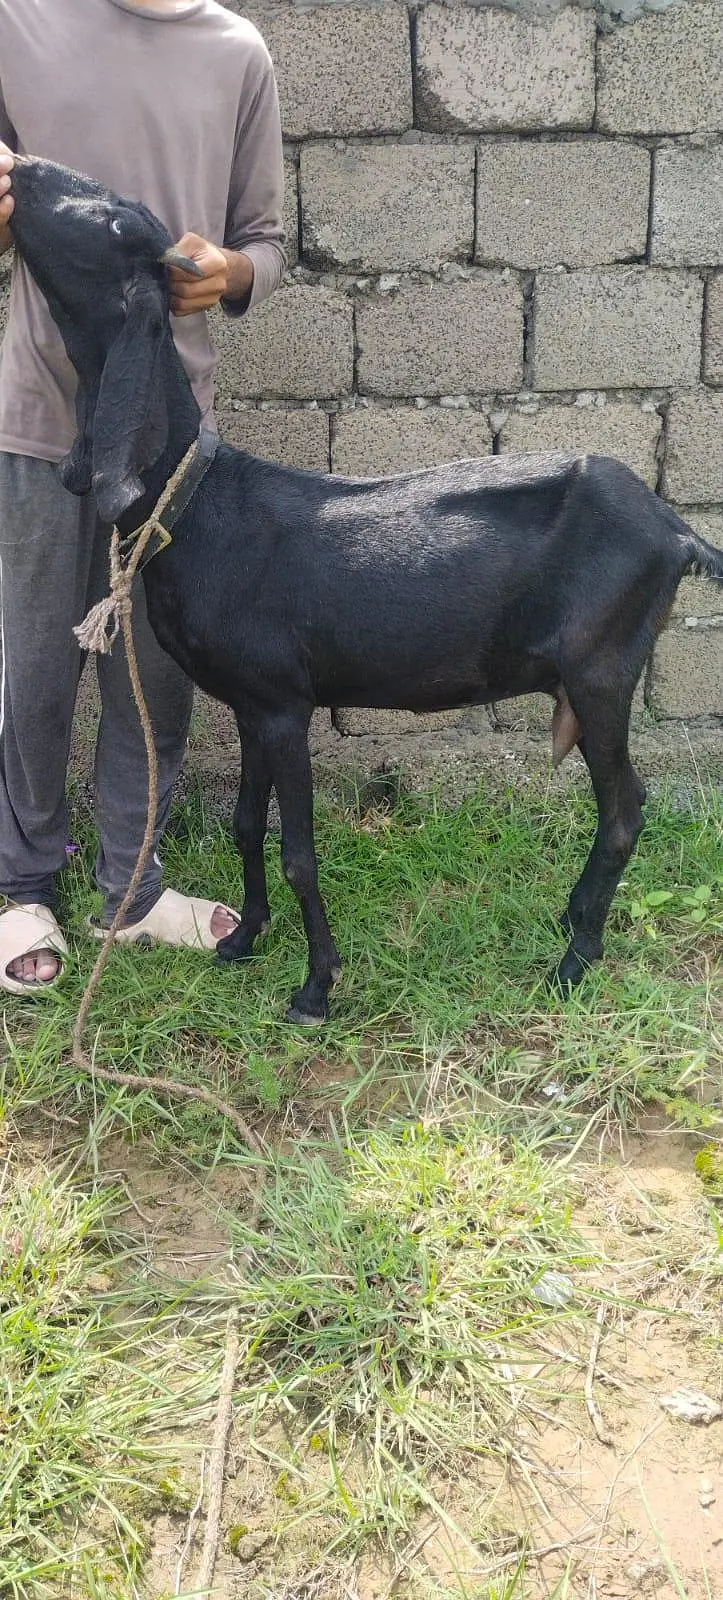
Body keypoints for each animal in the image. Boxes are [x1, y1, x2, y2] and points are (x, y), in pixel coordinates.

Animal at [8, 156, 722, 1023]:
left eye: (110, 224)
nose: (24, 171)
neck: (199, 502)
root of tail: (674, 530)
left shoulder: (286, 706)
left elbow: (299, 853)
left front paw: (316, 987)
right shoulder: (252, 701)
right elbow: (245, 825)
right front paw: (243, 942)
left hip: (601, 670)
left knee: (624, 811)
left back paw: (574, 960)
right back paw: (572, 917)